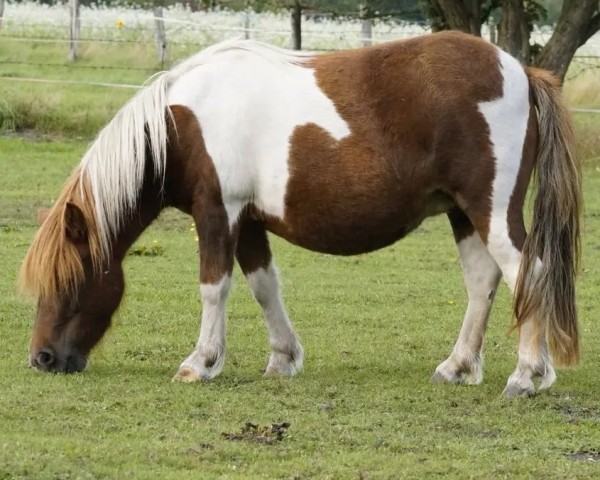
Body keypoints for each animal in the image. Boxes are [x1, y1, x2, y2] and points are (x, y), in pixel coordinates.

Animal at [19, 31, 580, 398]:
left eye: (68, 281)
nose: (41, 359)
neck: (180, 125)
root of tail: (520, 72)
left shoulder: (216, 213)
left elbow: (213, 287)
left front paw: (200, 363)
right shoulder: (248, 223)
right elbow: (264, 287)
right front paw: (282, 359)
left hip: (491, 210)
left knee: (528, 272)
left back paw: (526, 376)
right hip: (462, 213)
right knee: (484, 282)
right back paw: (459, 367)